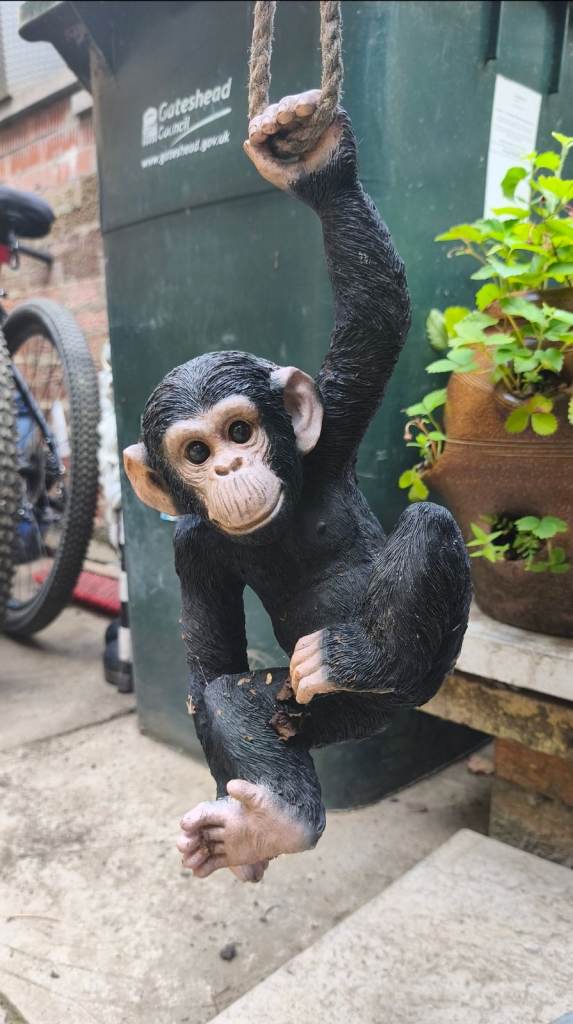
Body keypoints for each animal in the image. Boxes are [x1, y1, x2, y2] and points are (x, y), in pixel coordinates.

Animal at [124, 90, 471, 884]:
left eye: (240, 431)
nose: (227, 468)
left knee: (430, 527)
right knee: (239, 693)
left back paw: (356, 657)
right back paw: (264, 826)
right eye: (196, 451)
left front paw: (311, 161)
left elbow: (375, 321)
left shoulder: (332, 434)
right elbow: (212, 665)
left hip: (421, 677)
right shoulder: (191, 548)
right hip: (317, 714)